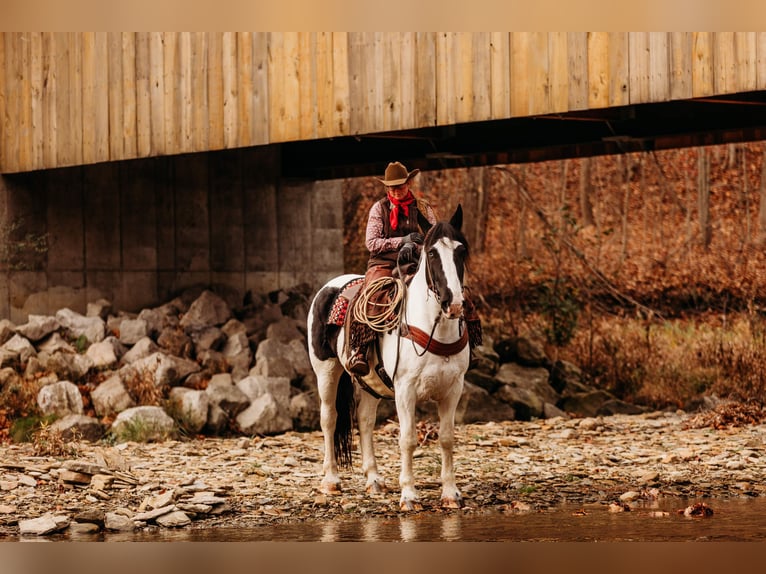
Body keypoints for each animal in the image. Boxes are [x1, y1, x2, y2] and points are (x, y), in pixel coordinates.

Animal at [308, 205, 472, 510]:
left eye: (461, 250)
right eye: (432, 253)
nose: (453, 303)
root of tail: (330, 286)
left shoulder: (453, 389)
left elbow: (446, 439)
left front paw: (450, 494)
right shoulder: (405, 390)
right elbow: (407, 439)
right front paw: (409, 496)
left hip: (369, 381)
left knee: (364, 420)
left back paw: (373, 480)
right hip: (326, 371)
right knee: (329, 418)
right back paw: (331, 480)